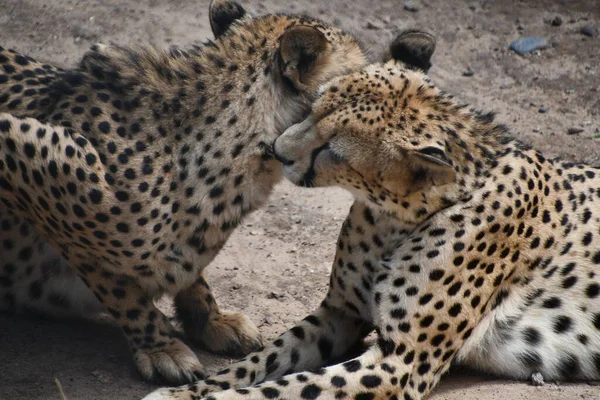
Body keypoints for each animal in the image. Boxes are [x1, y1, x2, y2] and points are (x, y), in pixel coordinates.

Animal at [144, 30, 600, 400]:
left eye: (332, 150)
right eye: (312, 107)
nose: (277, 151)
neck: (394, 218)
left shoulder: (399, 362)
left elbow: (284, 388)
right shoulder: (340, 314)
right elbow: (259, 363)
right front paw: (183, 393)